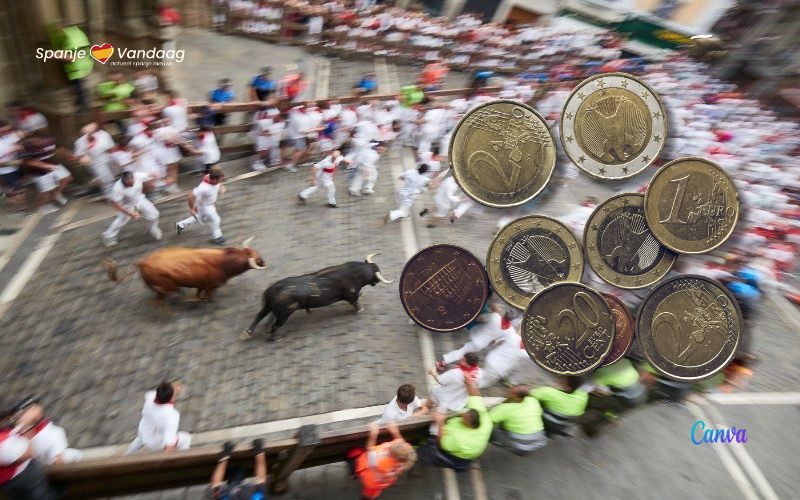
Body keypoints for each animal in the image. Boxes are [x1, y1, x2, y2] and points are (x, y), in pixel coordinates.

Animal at [101, 236, 266, 298]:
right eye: (258, 258)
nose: (264, 262)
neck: (223, 262)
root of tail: (143, 262)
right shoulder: (209, 285)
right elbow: (206, 295)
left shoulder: (202, 285)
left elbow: (200, 293)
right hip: (168, 286)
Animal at [244, 256, 394, 342]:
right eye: (376, 273)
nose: (377, 281)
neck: (352, 273)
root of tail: (272, 290)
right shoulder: (351, 296)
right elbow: (356, 302)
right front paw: (361, 309)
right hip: (283, 315)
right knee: (274, 326)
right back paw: (274, 338)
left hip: (267, 306)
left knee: (259, 315)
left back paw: (248, 333)